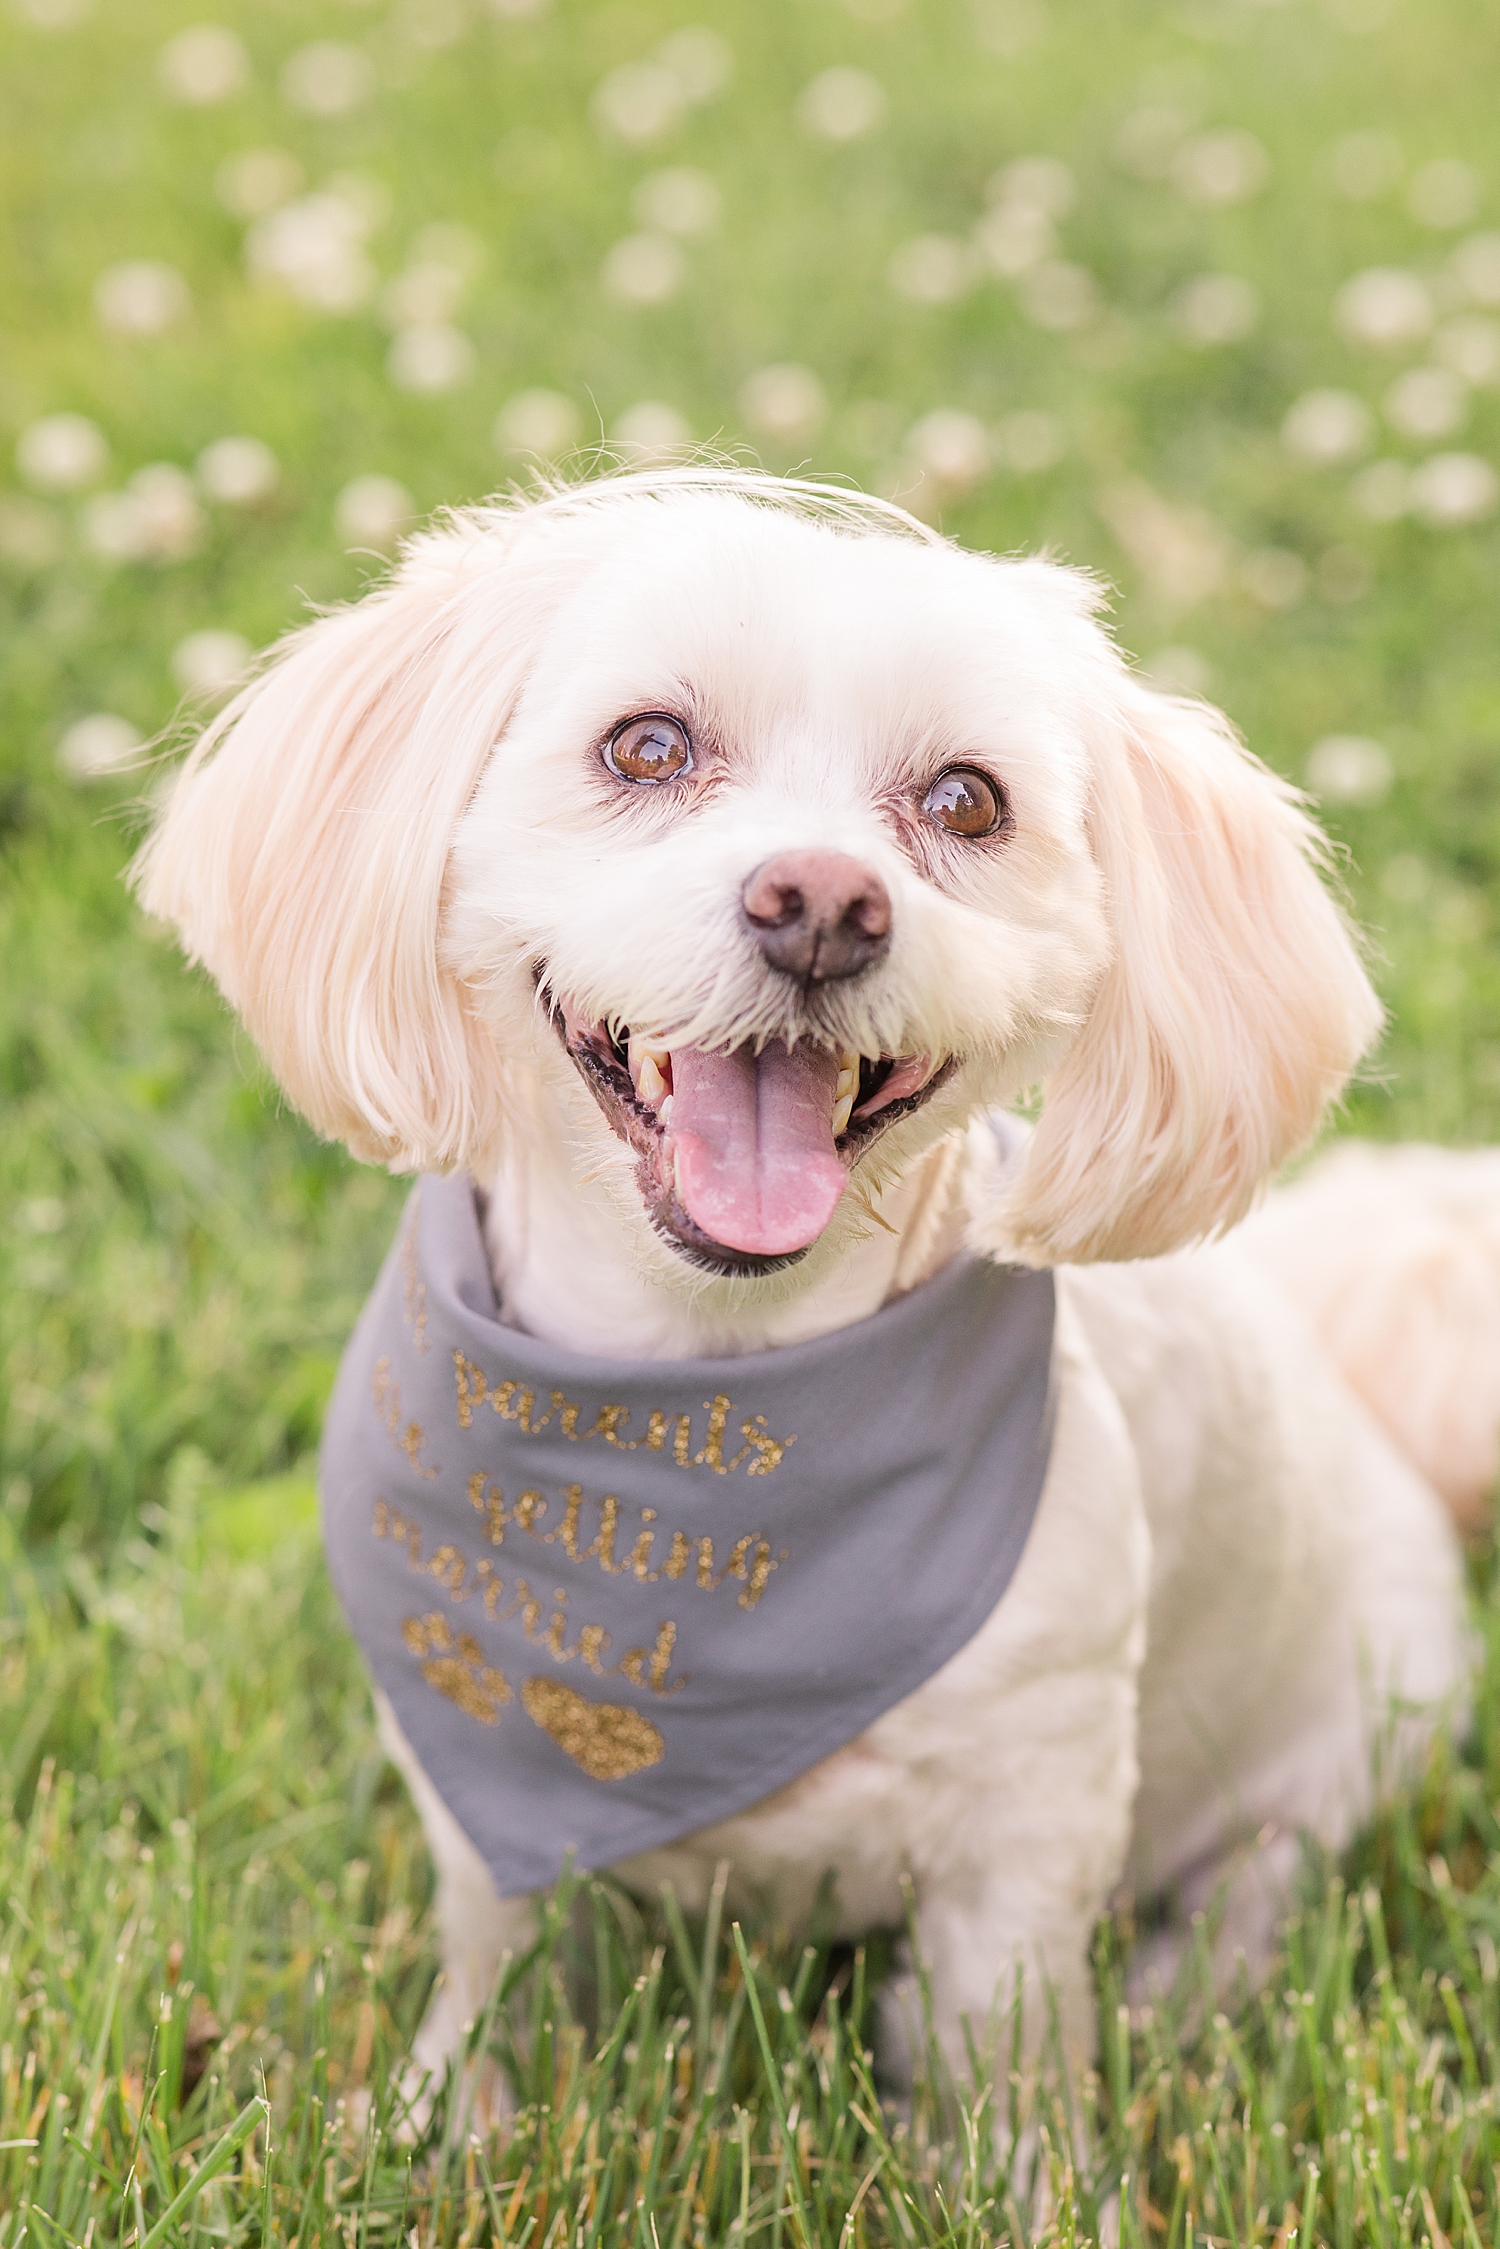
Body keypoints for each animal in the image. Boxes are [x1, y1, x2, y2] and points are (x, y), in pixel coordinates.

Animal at [137, 470, 1493, 2105]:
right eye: (648, 747)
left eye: (967, 801)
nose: (827, 902)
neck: (693, 1403)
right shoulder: (476, 1759)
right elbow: (490, 1956)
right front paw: (448, 2114)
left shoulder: (1030, 1818)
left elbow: (1006, 2055)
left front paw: (1013, 2154)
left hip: (1365, 1714)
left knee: (1266, 1878)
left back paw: (1179, 1983)